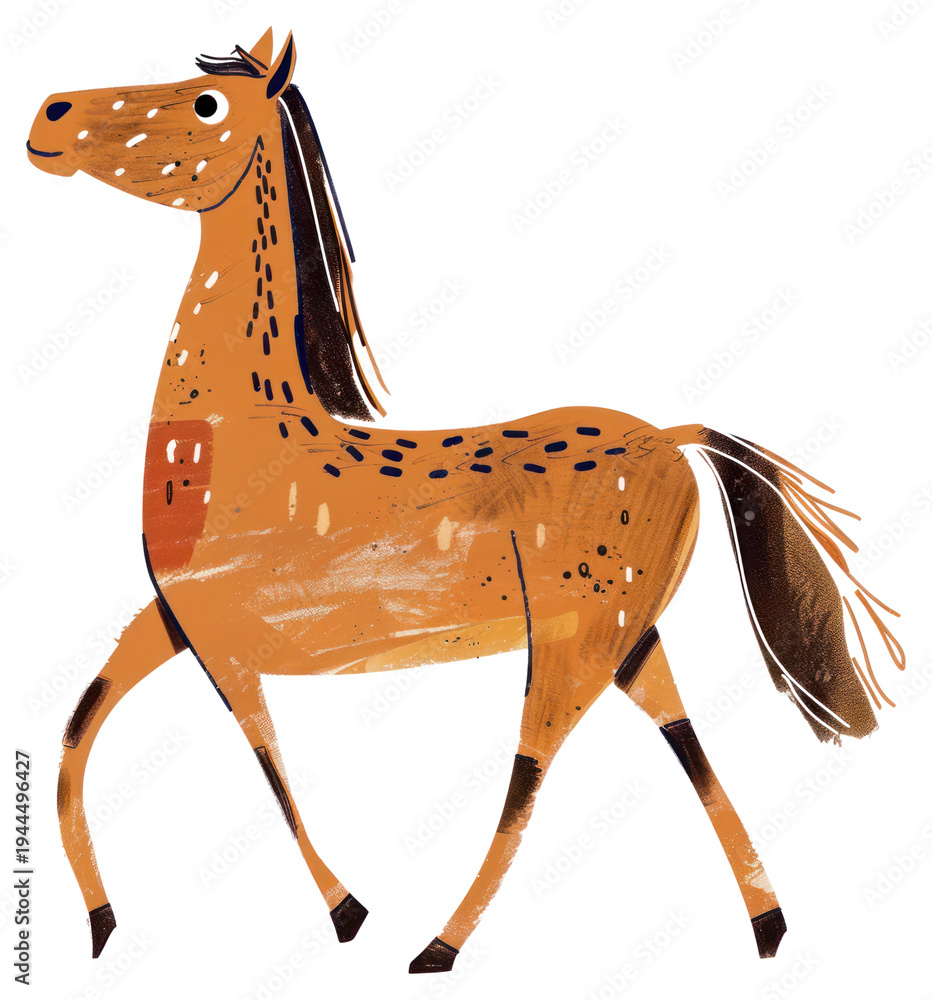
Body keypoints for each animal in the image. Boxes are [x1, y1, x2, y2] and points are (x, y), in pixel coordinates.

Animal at [27, 28, 904, 972]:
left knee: (531, 769)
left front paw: (348, 913)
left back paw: (438, 947)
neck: (240, 439)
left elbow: (262, 760)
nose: (48, 116)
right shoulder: (174, 619)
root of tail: (674, 437)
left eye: (207, 102)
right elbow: (80, 725)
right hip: (631, 639)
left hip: (574, 637)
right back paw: (768, 928)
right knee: (685, 745)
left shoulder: (222, 641)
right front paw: (100, 921)